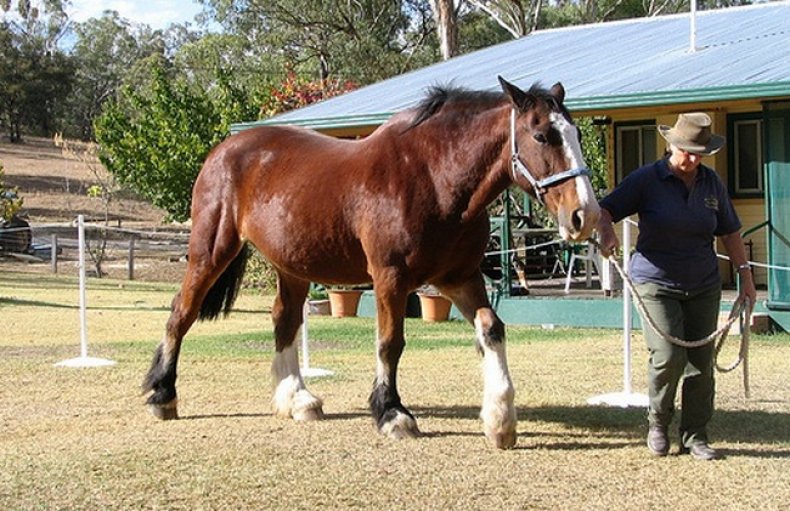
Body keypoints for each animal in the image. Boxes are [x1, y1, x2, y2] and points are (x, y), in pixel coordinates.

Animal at [142, 76, 600, 448]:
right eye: (541, 135)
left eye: (575, 133)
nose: (585, 215)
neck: (434, 178)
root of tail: (224, 149)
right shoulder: (390, 278)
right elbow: (390, 343)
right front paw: (392, 413)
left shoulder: (460, 278)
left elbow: (492, 329)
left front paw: (500, 420)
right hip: (211, 250)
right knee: (182, 312)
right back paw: (162, 395)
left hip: (292, 267)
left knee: (284, 320)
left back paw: (298, 399)